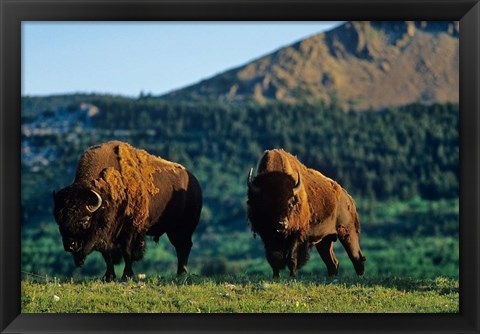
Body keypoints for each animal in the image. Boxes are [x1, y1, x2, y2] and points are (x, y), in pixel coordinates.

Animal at [246, 150, 366, 278]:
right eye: (267, 203)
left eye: (290, 203)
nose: (282, 224)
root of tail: (348, 198)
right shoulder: (267, 235)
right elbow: (274, 258)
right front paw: (276, 276)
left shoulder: (297, 234)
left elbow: (291, 257)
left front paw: (292, 276)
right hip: (325, 240)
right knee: (332, 263)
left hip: (348, 233)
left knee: (356, 257)